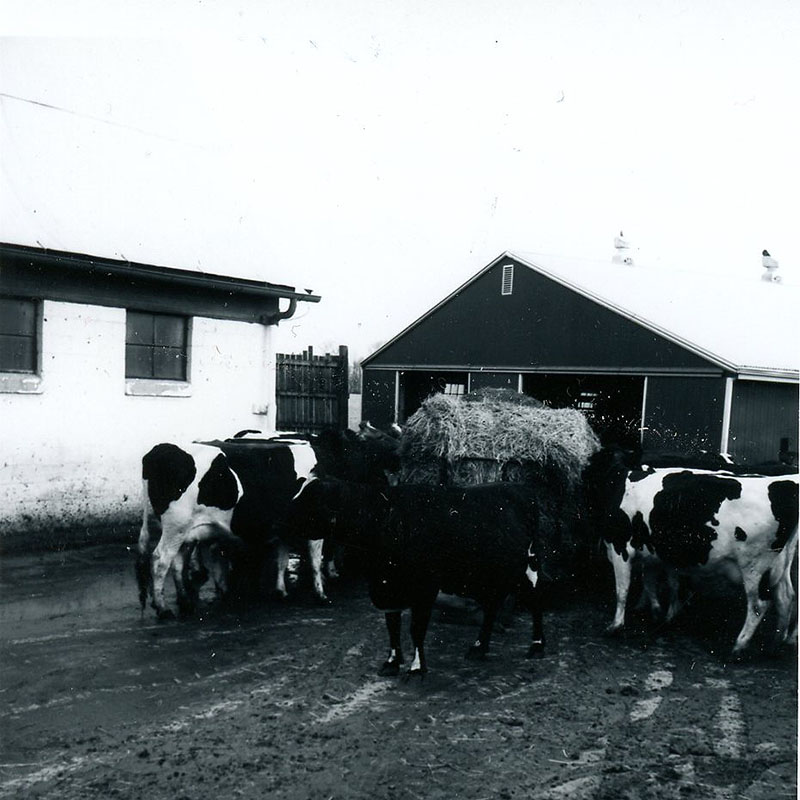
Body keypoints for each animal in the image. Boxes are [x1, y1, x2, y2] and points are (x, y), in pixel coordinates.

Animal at [288, 478, 544, 680]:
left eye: (312, 501)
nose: (281, 522)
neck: (386, 518)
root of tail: (521, 488)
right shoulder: (385, 586)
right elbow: (392, 626)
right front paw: (392, 663)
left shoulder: (424, 588)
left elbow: (416, 629)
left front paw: (416, 667)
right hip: (490, 575)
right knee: (491, 606)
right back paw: (479, 648)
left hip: (530, 568)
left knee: (534, 602)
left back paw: (537, 646)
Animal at [580, 450, 800, 656]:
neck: (619, 481)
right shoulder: (653, 553)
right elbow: (655, 582)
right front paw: (659, 613)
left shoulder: (620, 547)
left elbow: (622, 590)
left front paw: (616, 626)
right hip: (779, 565)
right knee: (786, 598)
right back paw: (776, 644)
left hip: (754, 566)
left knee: (758, 605)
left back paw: (739, 647)